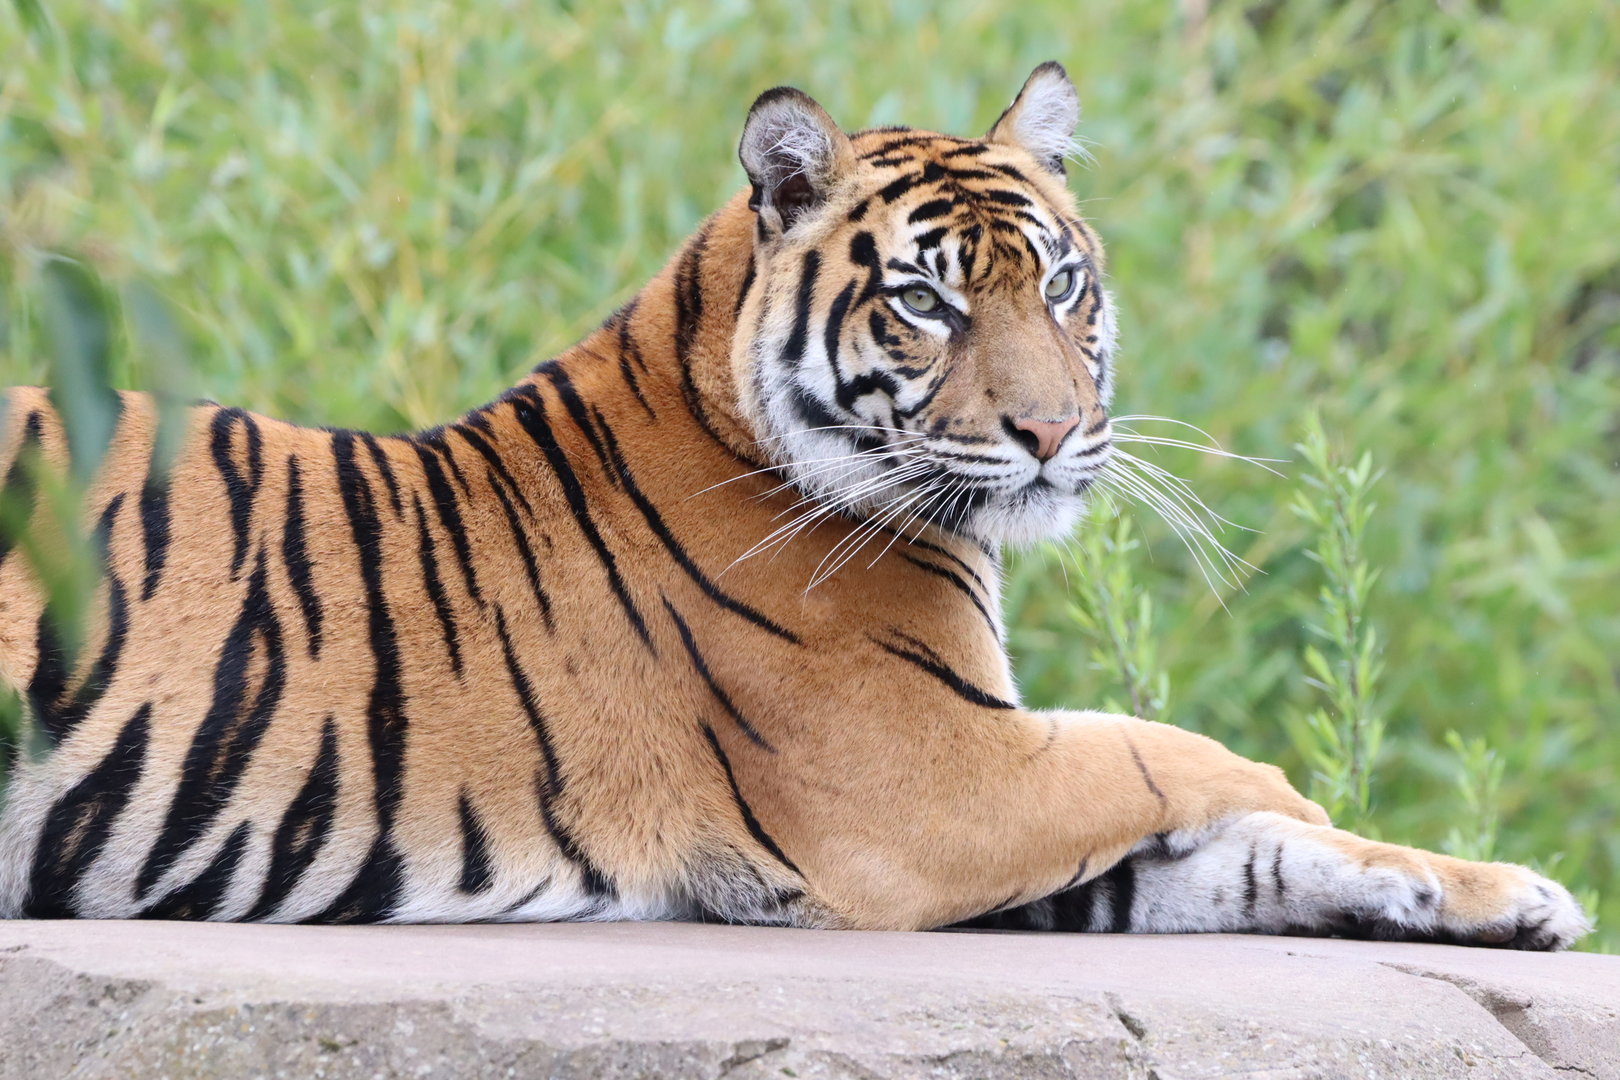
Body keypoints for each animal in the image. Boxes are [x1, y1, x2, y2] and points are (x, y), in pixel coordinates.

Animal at [0, 63, 1589, 948]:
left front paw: (1506, 894)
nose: (1053, 435)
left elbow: (1238, 857)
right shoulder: (933, 785)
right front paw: (1304, 793)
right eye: (930, 301)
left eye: (1062, 285)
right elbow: (1170, 754)